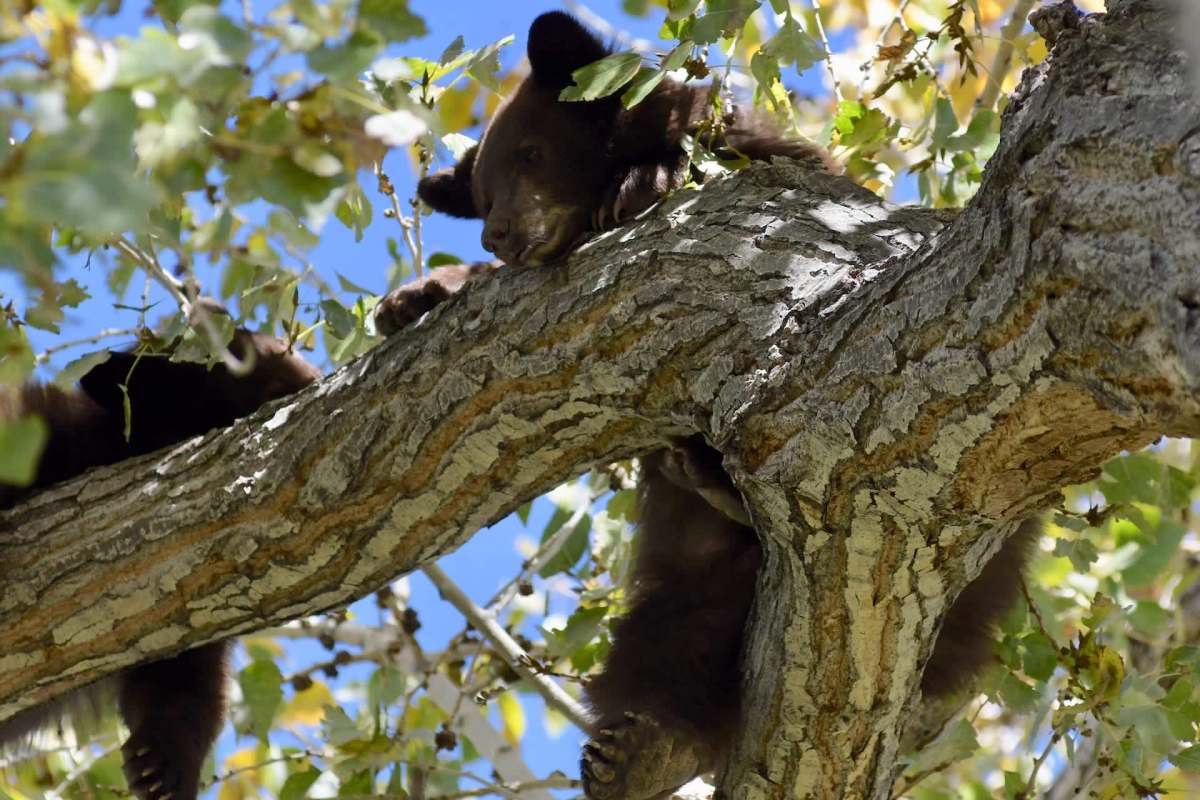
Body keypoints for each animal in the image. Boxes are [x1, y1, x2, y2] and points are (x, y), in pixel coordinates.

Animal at [377, 11, 1035, 800]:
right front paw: (411, 298)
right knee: (668, 646)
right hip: (691, 583)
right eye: (480, 190)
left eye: (531, 152)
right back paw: (643, 750)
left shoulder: (774, 164)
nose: (495, 233)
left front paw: (643, 181)